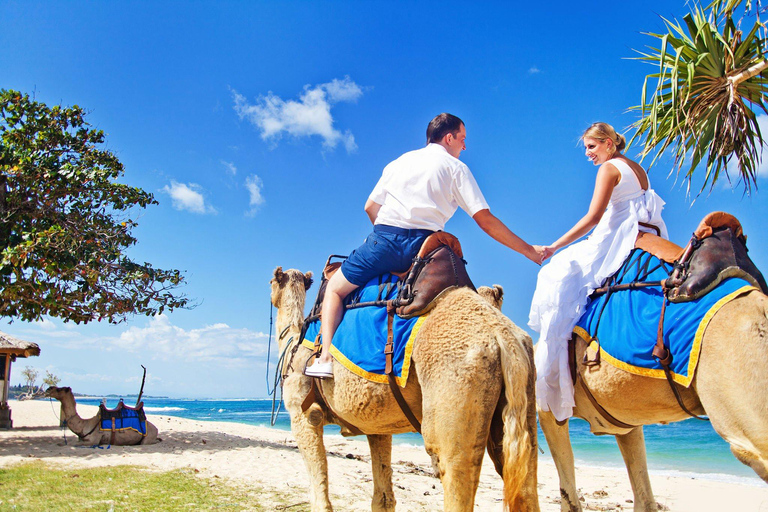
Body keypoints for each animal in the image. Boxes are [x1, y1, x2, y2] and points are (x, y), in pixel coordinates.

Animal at [270, 268, 540, 512]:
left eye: (272, 282)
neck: (293, 345)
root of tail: (503, 336)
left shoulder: (304, 415)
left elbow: (321, 500)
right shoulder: (377, 426)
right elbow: (383, 498)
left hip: (455, 381)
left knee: (455, 471)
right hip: (522, 398)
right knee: (524, 478)